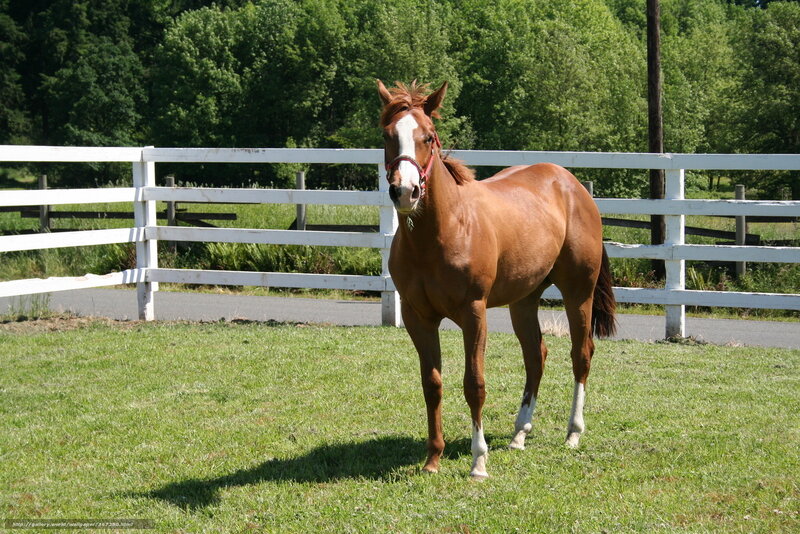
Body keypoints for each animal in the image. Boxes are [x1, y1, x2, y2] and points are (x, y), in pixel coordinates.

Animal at [377, 79, 617, 479]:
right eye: (388, 135)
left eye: (428, 136)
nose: (405, 191)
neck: (442, 231)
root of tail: (572, 185)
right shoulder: (417, 317)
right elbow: (432, 384)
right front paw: (432, 459)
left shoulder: (474, 313)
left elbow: (474, 385)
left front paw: (479, 461)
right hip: (524, 300)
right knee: (536, 356)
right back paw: (520, 433)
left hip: (578, 293)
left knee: (581, 354)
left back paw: (573, 433)